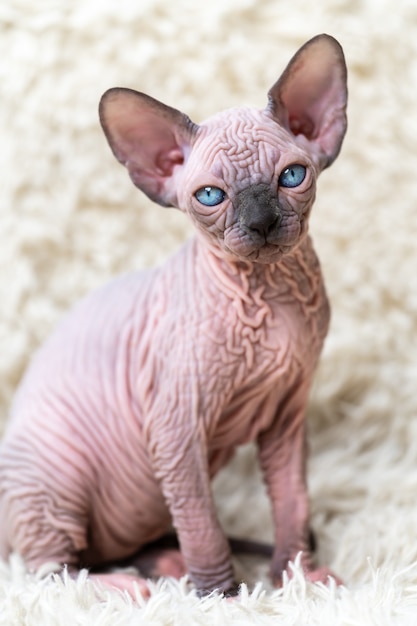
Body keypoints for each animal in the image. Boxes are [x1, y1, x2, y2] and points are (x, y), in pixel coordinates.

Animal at [0, 33, 346, 596]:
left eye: (291, 177)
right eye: (210, 196)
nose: (262, 221)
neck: (271, 295)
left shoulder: (287, 417)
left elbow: (293, 502)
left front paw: (298, 579)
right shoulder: (176, 428)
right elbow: (203, 524)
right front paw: (221, 597)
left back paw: (165, 563)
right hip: (53, 477)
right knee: (51, 572)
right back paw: (129, 587)